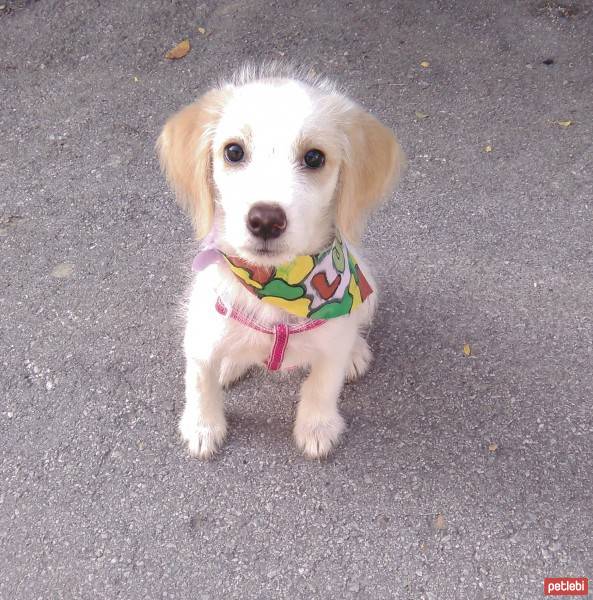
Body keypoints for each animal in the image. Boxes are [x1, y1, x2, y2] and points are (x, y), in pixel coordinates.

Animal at [158, 67, 402, 460]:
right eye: (233, 151)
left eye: (314, 158)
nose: (265, 220)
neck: (276, 284)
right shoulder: (200, 336)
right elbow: (199, 382)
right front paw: (202, 427)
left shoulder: (330, 344)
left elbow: (322, 384)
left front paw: (317, 426)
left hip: (369, 289)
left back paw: (356, 352)